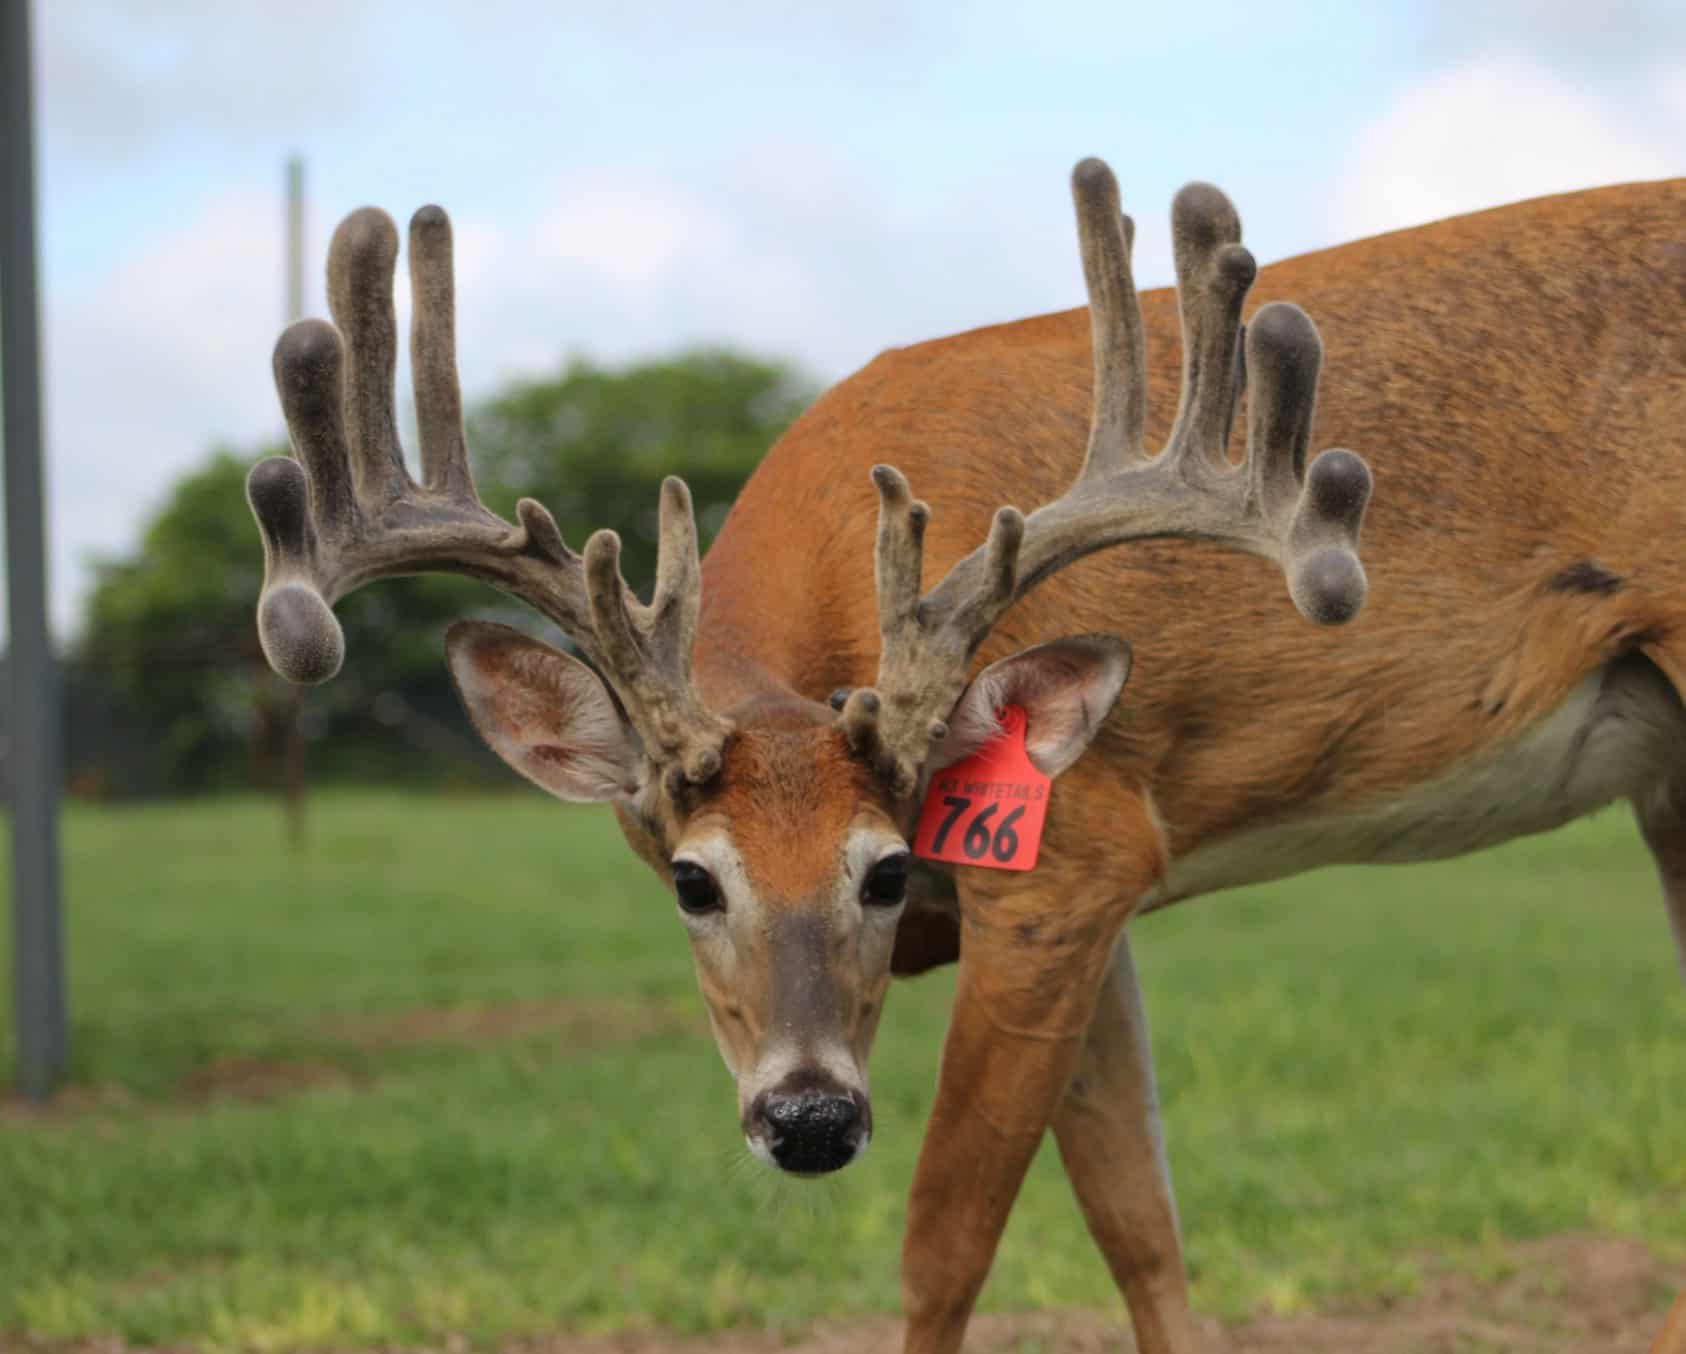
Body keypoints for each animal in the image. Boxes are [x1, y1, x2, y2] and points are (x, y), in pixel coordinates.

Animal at [246, 156, 1686, 1354]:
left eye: (887, 871)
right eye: (691, 879)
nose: (808, 1118)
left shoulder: (1067, 858)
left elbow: (944, 1240)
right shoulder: (1097, 900)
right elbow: (1141, 1228)